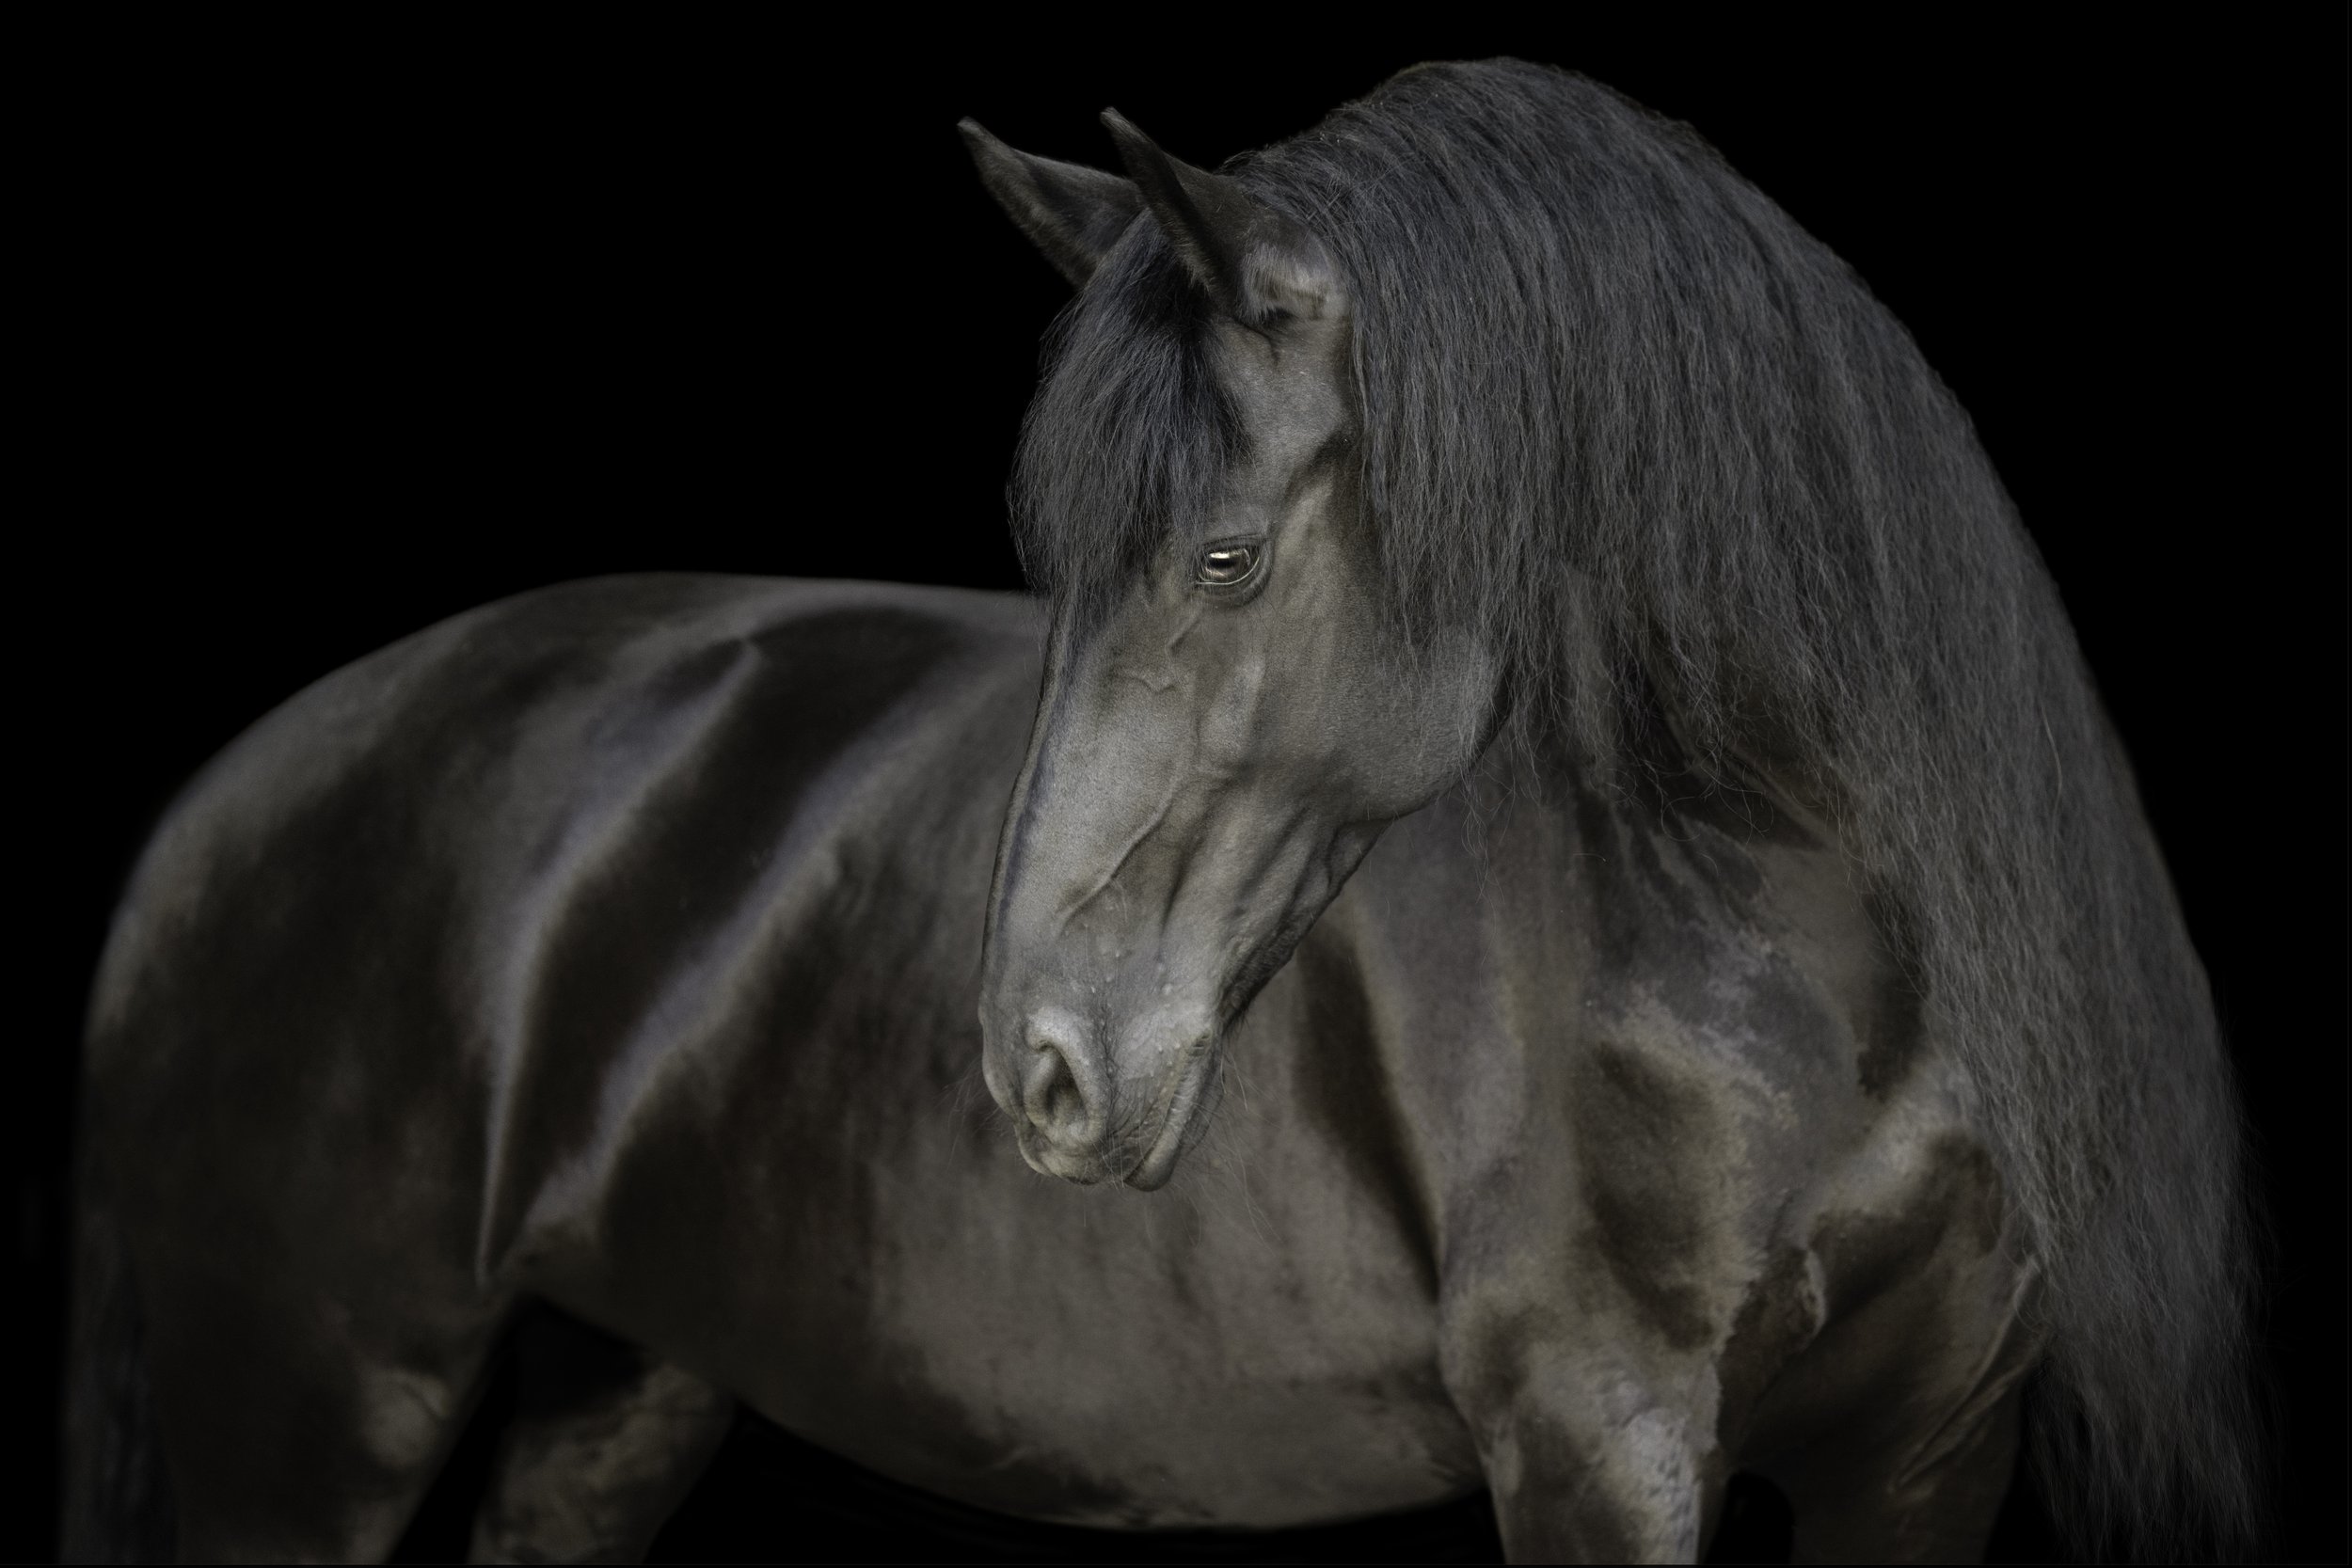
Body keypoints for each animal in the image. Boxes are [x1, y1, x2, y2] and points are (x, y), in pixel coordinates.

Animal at [59, 57, 2258, 1560]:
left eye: (1219, 558)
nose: (1035, 1068)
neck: (1783, 957)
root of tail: (223, 805)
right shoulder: (1601, 1435)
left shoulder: (1930, 1447)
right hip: (315, 1415)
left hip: (613, 1385)